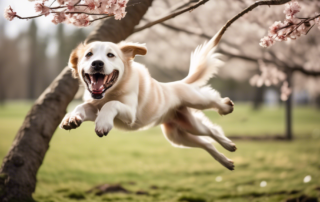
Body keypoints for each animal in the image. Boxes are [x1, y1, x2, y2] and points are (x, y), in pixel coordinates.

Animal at [60, 29, 235, 170]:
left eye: (110, 55)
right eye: (89, 54)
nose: (97, 63)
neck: (110, 91)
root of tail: (178, 83)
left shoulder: (130, 113)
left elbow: (111, 104)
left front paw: (103, 124)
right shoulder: (93, 106)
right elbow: (82, 106)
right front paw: (71, 119)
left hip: (195, 101)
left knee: (211, 122)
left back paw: (227, 116)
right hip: (178, 134)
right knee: (206, 141)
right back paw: (227, 161)